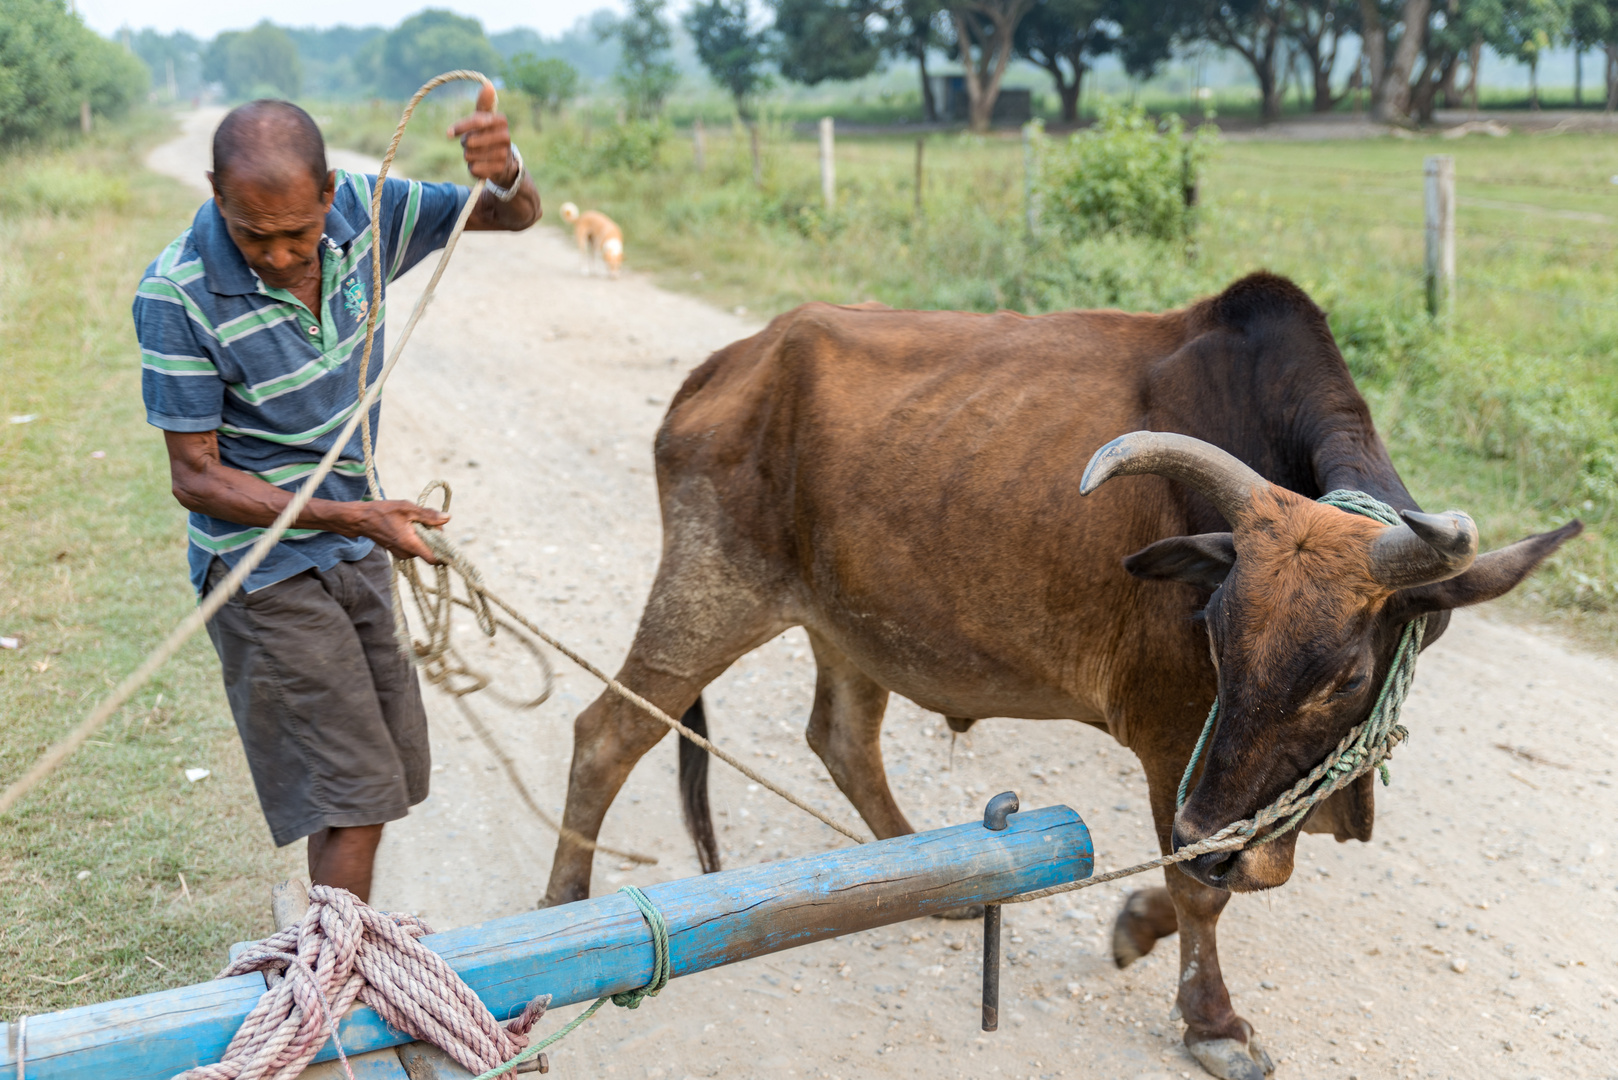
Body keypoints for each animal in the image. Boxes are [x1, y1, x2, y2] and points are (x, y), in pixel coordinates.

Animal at [546, 276, 1579, 1080]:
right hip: (709, 592)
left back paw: (937, 876)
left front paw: (1138, 923)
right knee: (608, 733)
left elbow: (1223, 866)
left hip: (849, 624)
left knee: (840, 739)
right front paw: (1212, 1021)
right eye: (1215, 633)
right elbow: (1200, 880)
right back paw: (562, 919)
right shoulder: (1174, 737)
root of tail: (733, 361)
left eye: (1347, 674)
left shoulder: (1238, 787)